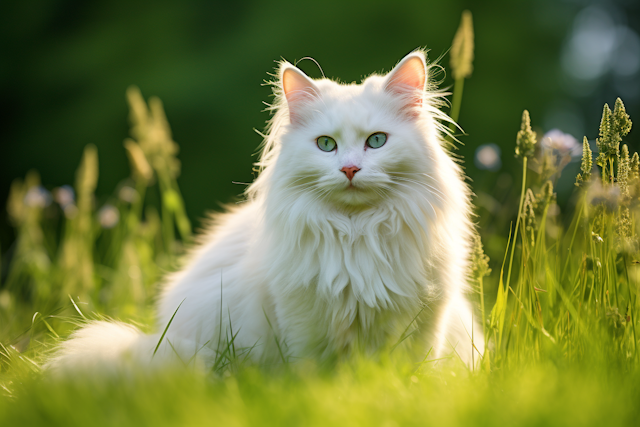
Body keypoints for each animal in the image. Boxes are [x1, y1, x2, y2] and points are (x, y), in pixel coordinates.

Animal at [46, 50, 484, 374]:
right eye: (326, 145)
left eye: (376, 141)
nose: (349, 169)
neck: (356, 230)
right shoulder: (302, 320)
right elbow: (313, 372)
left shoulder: (424, 319)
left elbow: (409, 370)